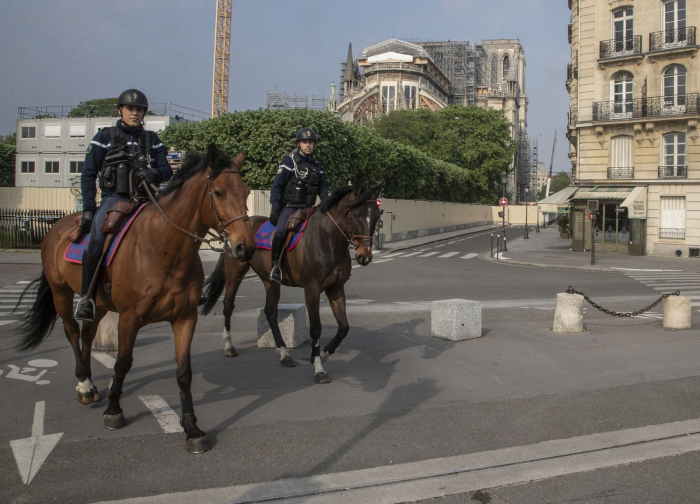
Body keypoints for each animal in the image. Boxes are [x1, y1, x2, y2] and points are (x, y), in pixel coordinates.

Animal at [15, 145, 256, 452]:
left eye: (246, 191)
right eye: (219, 192)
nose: (245, 247)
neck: (163, 249)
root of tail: (59, 225)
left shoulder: (185, 318)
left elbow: (183, 372)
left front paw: (192, 428)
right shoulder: (129, 318)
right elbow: (123, 362)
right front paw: (114, 410)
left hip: (99, 304)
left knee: (87, 333)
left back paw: (92, 382)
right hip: (61, 293)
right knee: (71, 330)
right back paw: (84, 385)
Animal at [200, 181, 386, 382]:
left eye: (376, 216)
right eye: (356, 215)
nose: (364, 256)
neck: (328, 239)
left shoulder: (336, 288)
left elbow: (343, 327)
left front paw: (323, 354)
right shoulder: (311, 289)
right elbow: (316, 328)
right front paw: (319, 368)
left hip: (270, 281)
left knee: (271, 312)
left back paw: (284, 355)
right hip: (235, 273)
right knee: (228, 305)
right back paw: (229, 346)